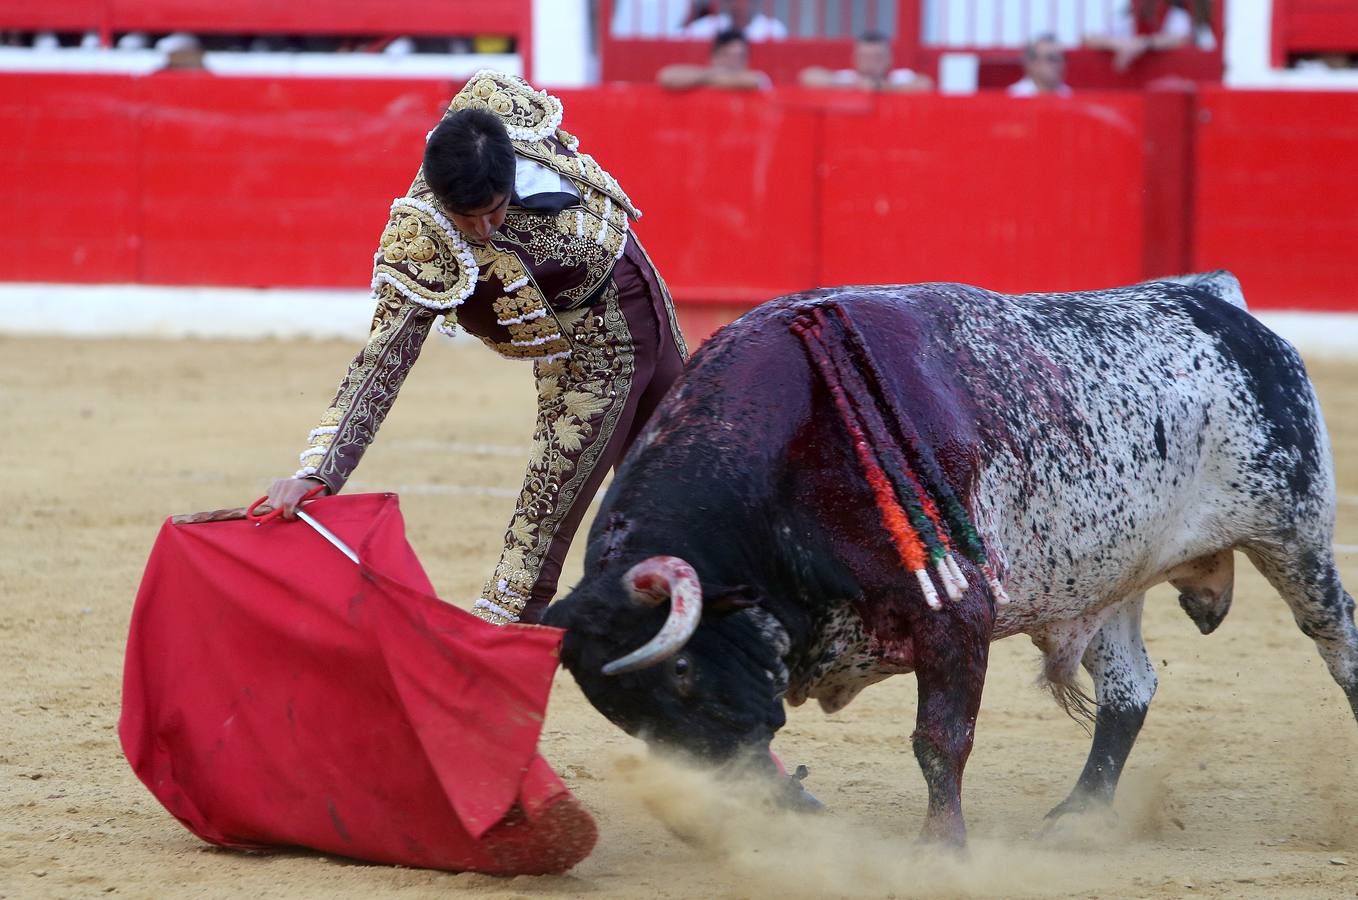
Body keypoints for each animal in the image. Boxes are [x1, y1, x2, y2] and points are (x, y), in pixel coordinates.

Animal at [540, 274, 1358, 847]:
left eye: (681, 670)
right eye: (626, 715)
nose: (707, 809)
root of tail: (1220, 303)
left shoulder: (956, 616)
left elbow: (939, 742)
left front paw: (941, 850)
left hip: (1294, 538)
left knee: (1339, 645)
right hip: (1108, 580)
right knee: (1130, 691)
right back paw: (1079, 817)